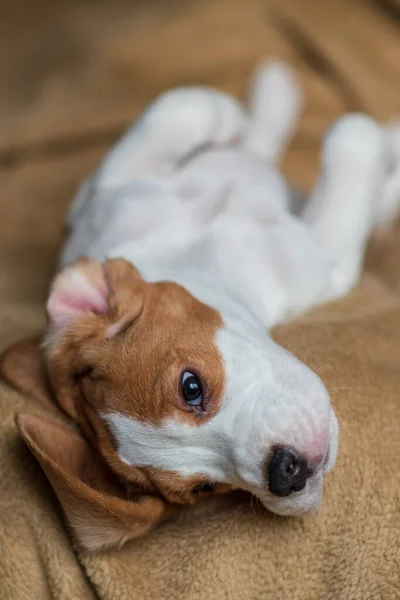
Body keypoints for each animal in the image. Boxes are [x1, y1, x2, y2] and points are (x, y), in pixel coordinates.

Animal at [1, 62, 398, 552]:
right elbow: (352, 138)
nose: (286, 473)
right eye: (207, 488)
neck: (197, 248)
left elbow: (177, 106)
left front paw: (228, 116)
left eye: (190, 387)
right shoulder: (325, 261)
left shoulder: (101, 202)